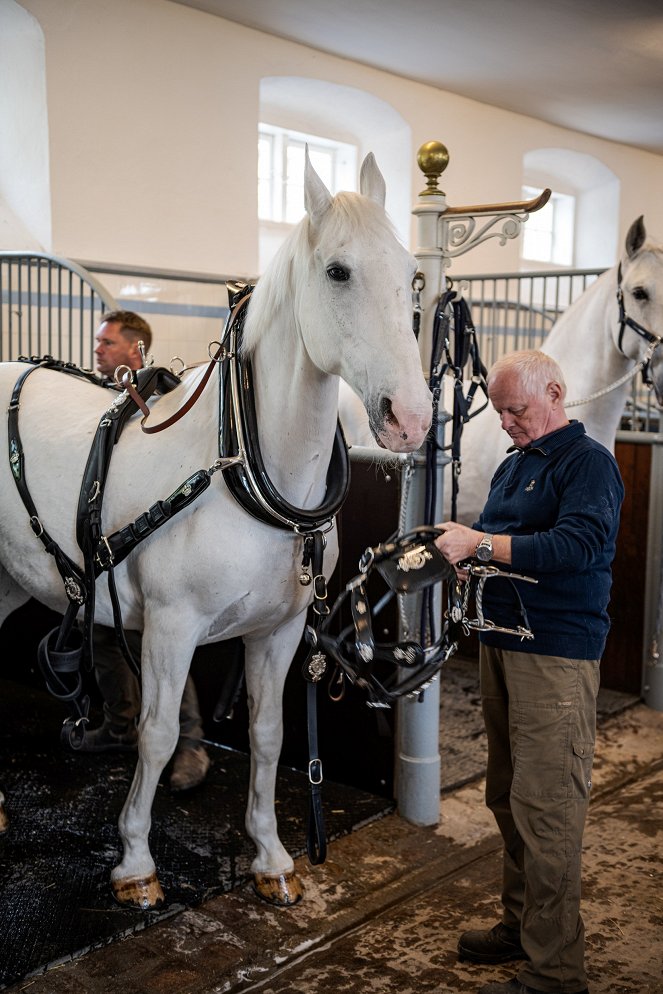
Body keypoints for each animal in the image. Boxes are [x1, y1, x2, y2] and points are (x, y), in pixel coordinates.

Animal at [0, 153, 434, 908]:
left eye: (413, 274)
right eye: (338, 271)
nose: (409, 419)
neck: (241, 470)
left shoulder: (279, 630)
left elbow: (268, 733)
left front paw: (271, 857)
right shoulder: (171, 628)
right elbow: (155, 733)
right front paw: (136, 865)